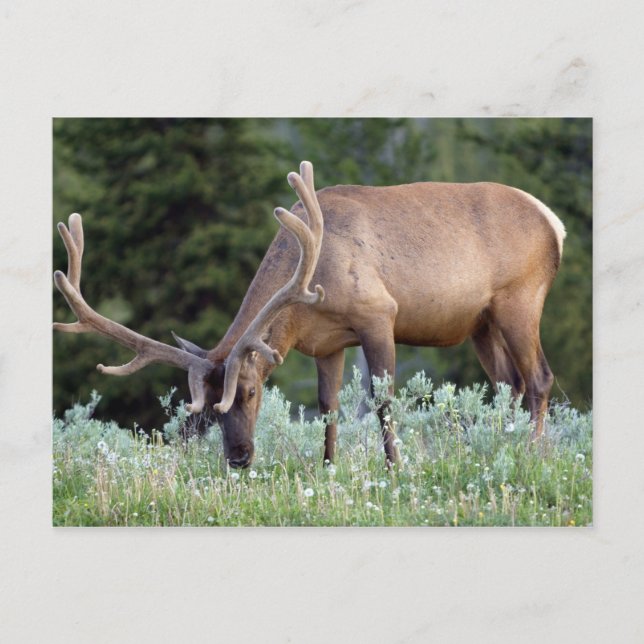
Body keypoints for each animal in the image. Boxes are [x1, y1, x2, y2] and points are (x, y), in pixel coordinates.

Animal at [54, 160, 565, 468]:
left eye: (251, 390)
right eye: (205, 407)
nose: (238, 457)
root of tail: (553, 222)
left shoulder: (379, 314)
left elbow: (383, 401)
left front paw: (395, 468)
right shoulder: (327, 343)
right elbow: (328, 408)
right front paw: (328, 469)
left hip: (521, 298)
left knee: (539, 378)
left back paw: (533, 454)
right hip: (481, 322)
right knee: (509, 385)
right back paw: (499, 449)